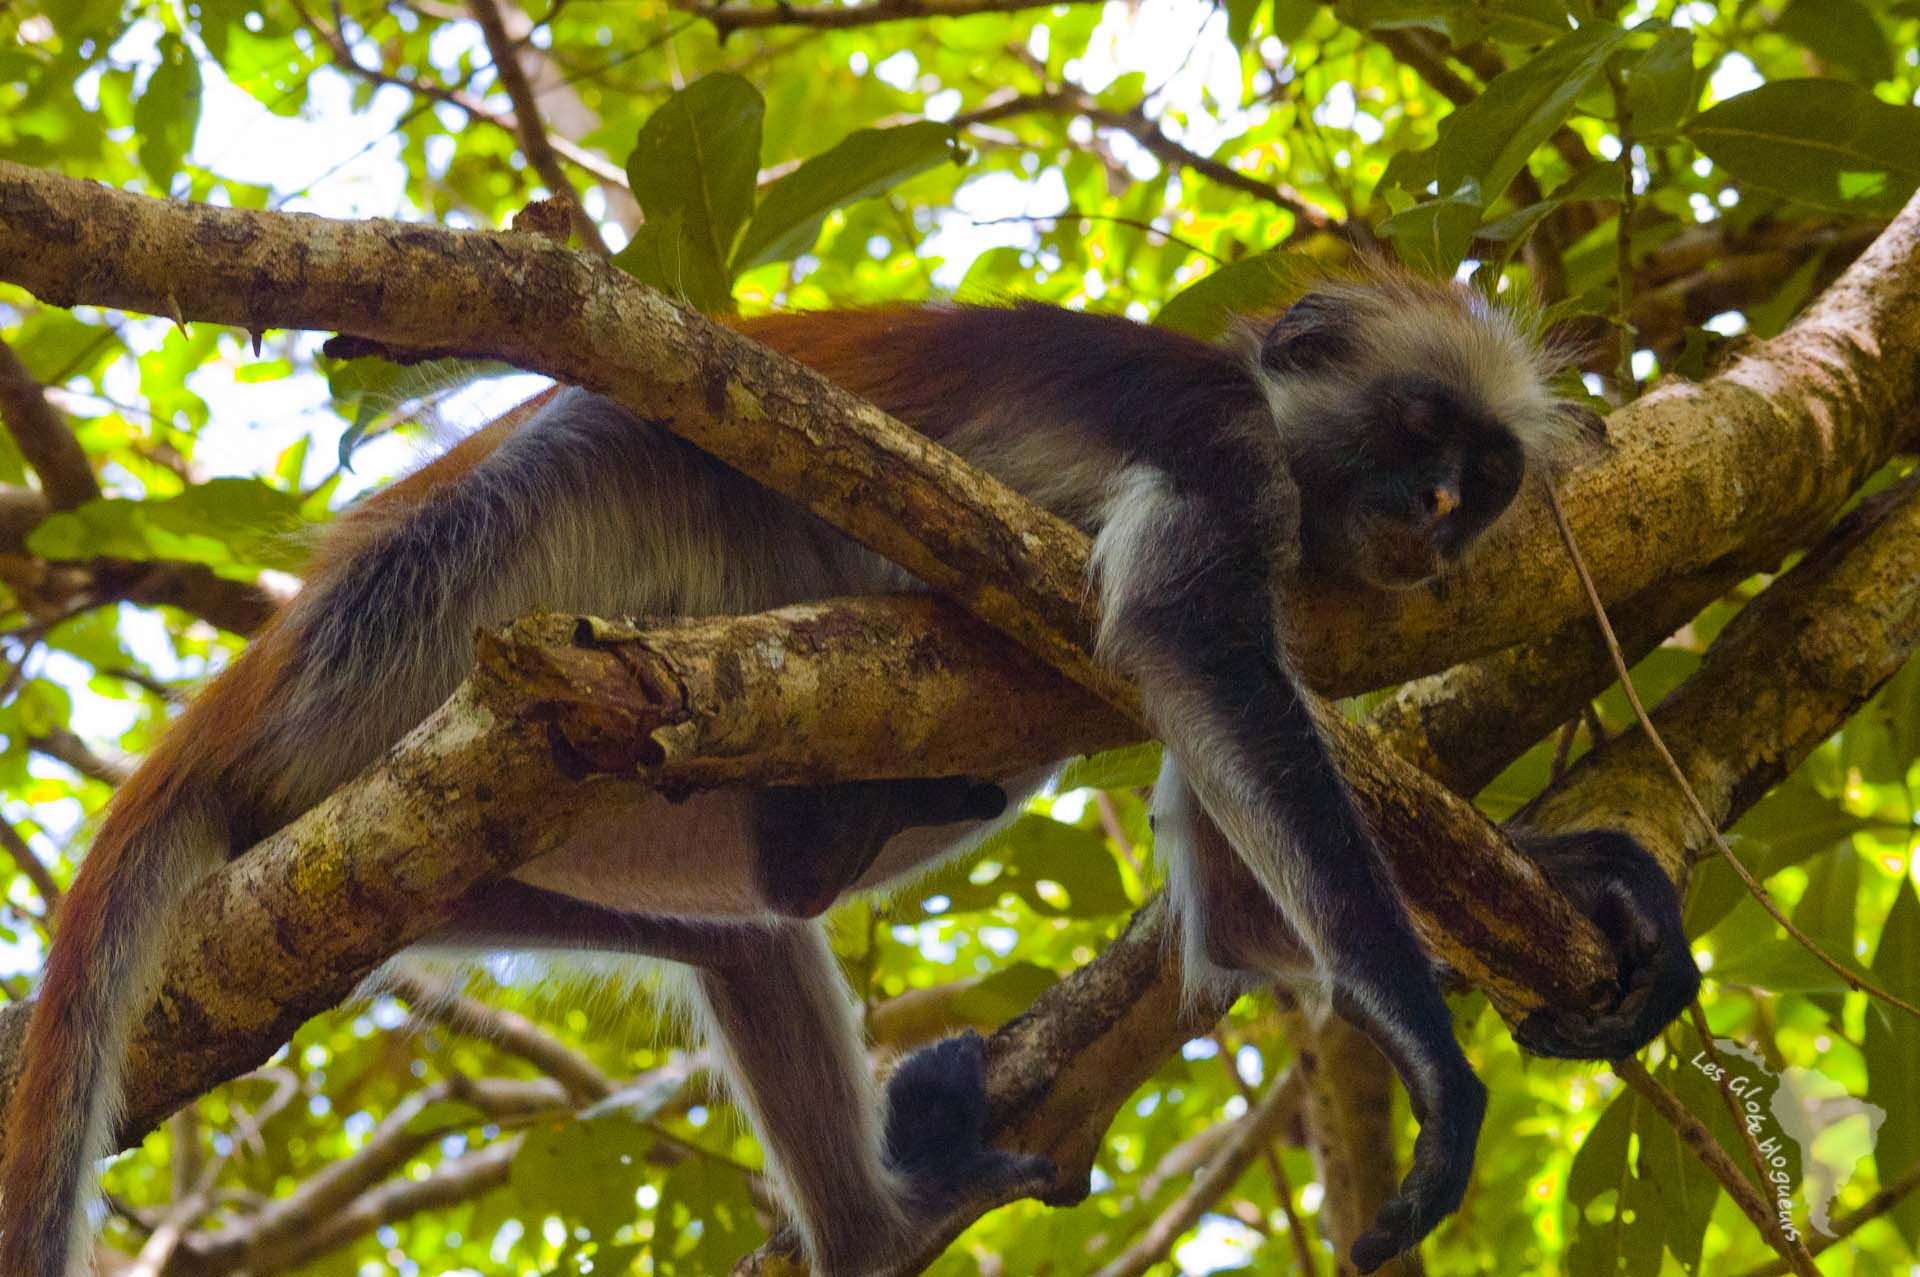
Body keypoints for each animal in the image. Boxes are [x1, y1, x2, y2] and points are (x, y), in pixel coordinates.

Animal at [0, 271, 1700, 1277]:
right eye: (1417, 430)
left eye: (1481, 475)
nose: (1436, 509)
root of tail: (275, 669)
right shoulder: (1220, 443)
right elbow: (1189, 645)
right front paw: (1436, 1059)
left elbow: (1231, 894)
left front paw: (1569, 878)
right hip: (476, 593)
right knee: (615, 438)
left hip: (469, 844)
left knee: (754, 925)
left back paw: (879, 1182)